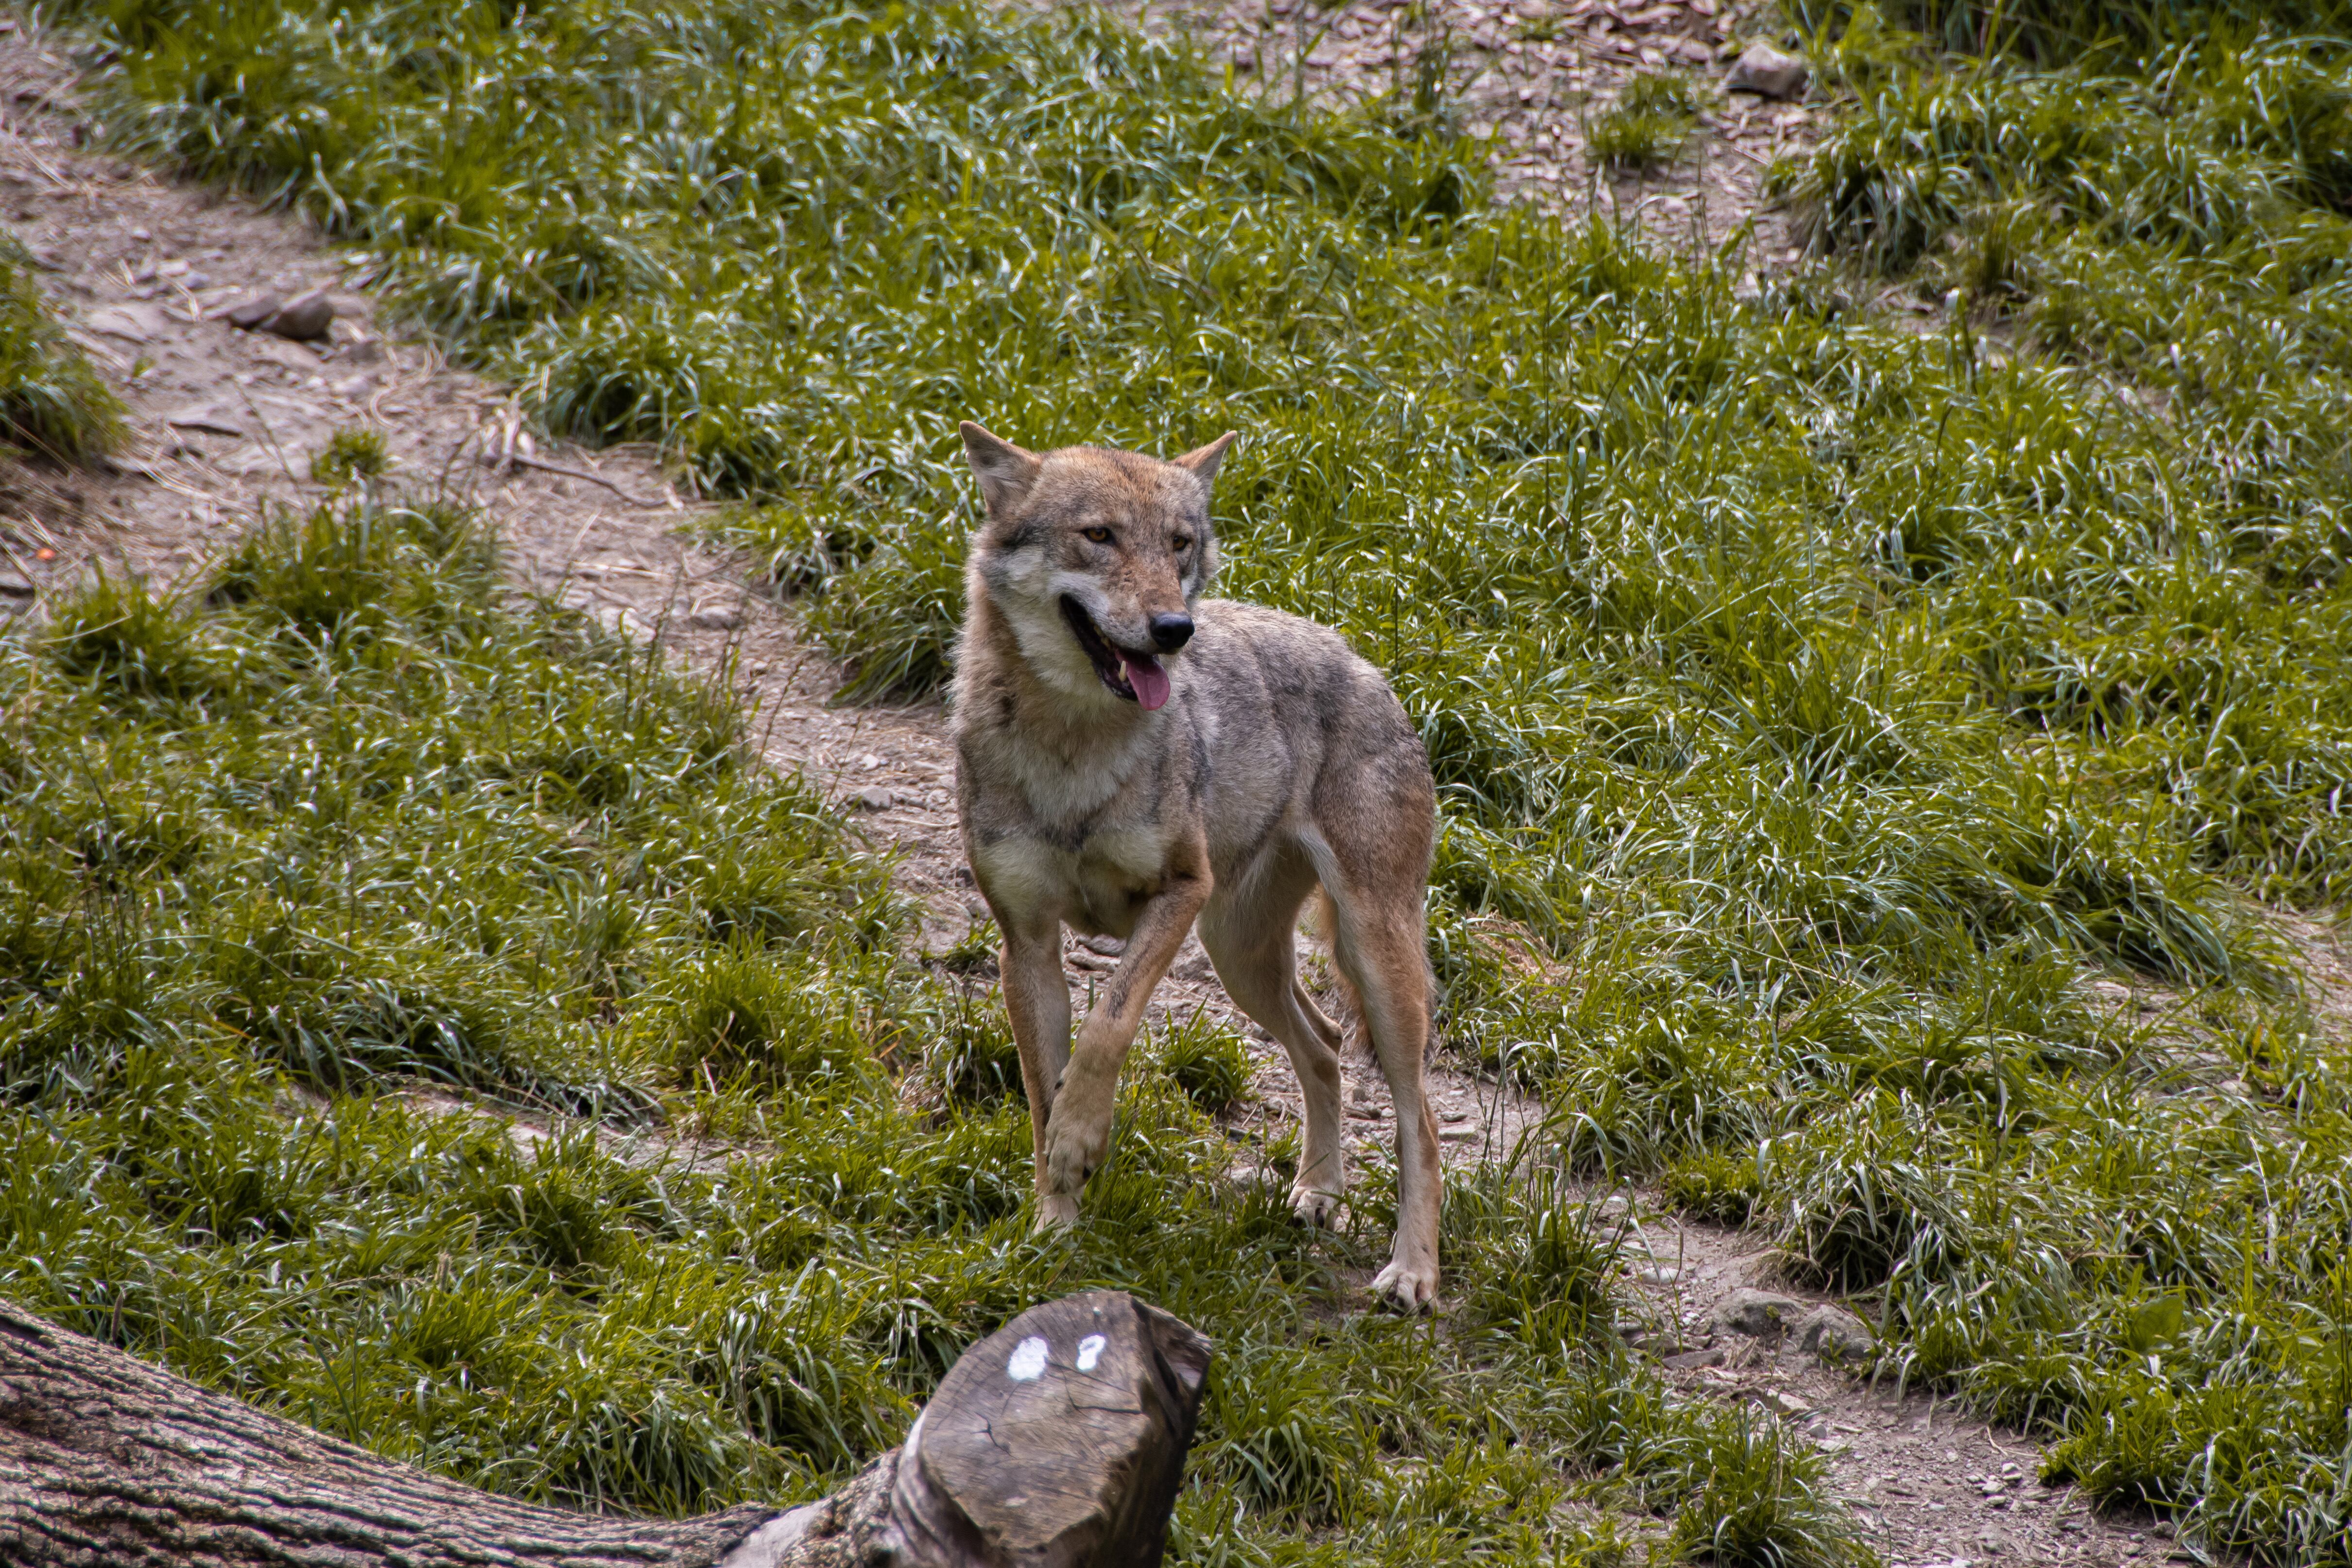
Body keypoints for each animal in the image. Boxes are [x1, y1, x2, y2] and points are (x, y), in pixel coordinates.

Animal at [945, 421, 1439, 1316]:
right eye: (1100, 535)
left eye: (1178, 544)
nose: (1175, 628)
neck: (1073, 749)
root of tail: (1361, 657)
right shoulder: (1025, 942)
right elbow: (1040, 1091)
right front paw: (1052, 1228)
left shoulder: (1179, 891)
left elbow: (1107, 1029)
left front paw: (1080, 1140)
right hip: (1240, 959)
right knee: (1323, 1045)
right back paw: (1320, 1192)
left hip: (1373, 965)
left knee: (1418, 1117)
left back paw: (1414, 1272)